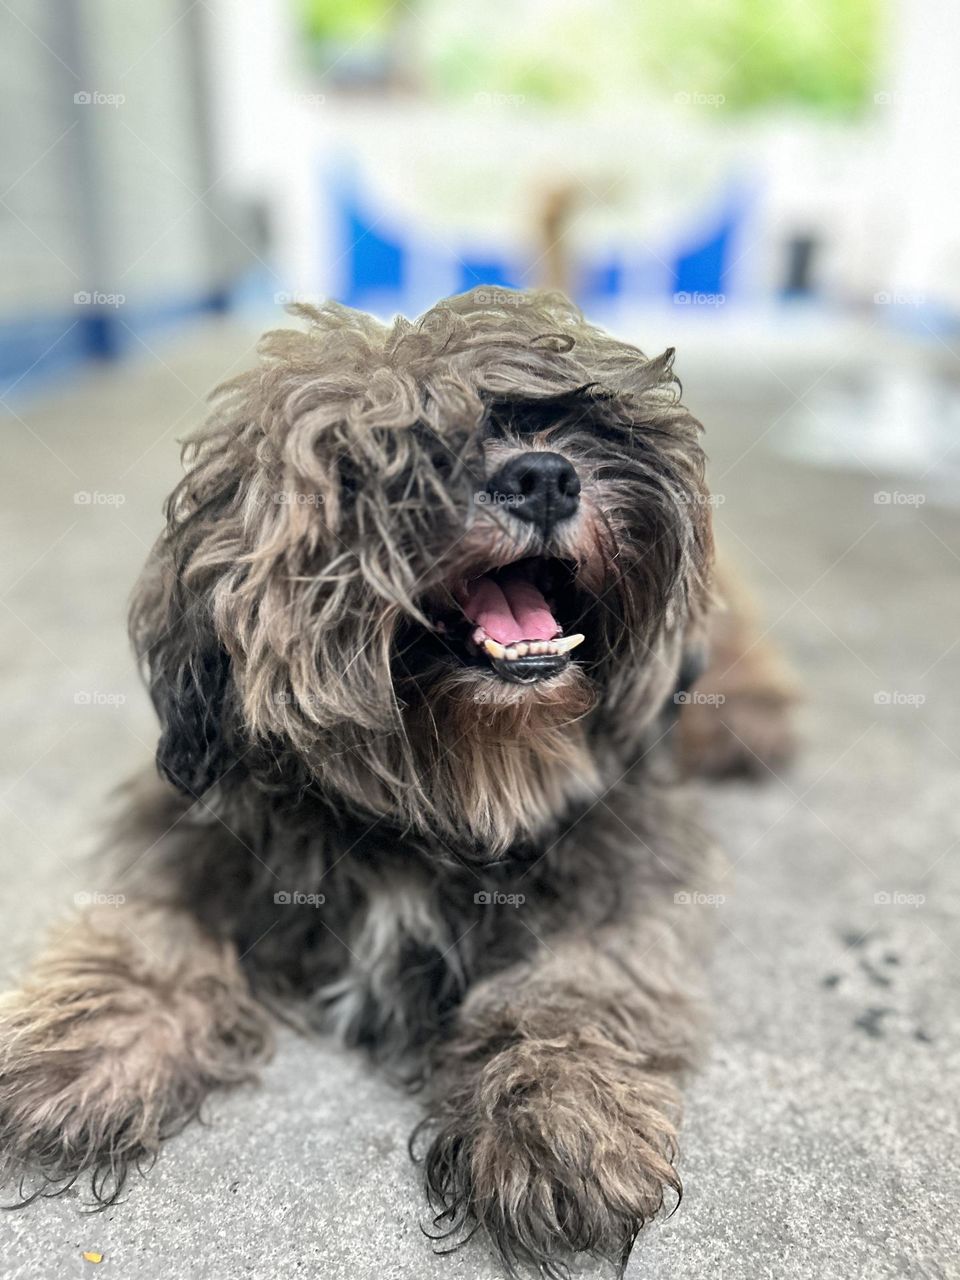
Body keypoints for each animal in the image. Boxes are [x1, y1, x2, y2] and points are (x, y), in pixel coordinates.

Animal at [0, 289, 795, 1275]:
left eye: (550, 419)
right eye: (395, 454)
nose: (543, 477)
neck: (442, 800)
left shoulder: (628, 860)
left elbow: (577, 983)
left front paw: (560, 1110)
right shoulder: (194, 826)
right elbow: (150, 932)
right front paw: (91, 1041)